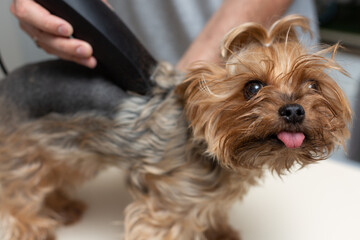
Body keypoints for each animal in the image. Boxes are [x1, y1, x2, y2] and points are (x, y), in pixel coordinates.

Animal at [0, 15, 350, 240]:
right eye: (252, 87)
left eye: (313, 85)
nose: (293, 110)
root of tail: (6, 84)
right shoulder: (167, 207)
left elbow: (212, 211)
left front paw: (220, 233)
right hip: (25, 155)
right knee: (17, 195)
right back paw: (33, 227)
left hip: (67, 149)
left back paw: (63, 207)